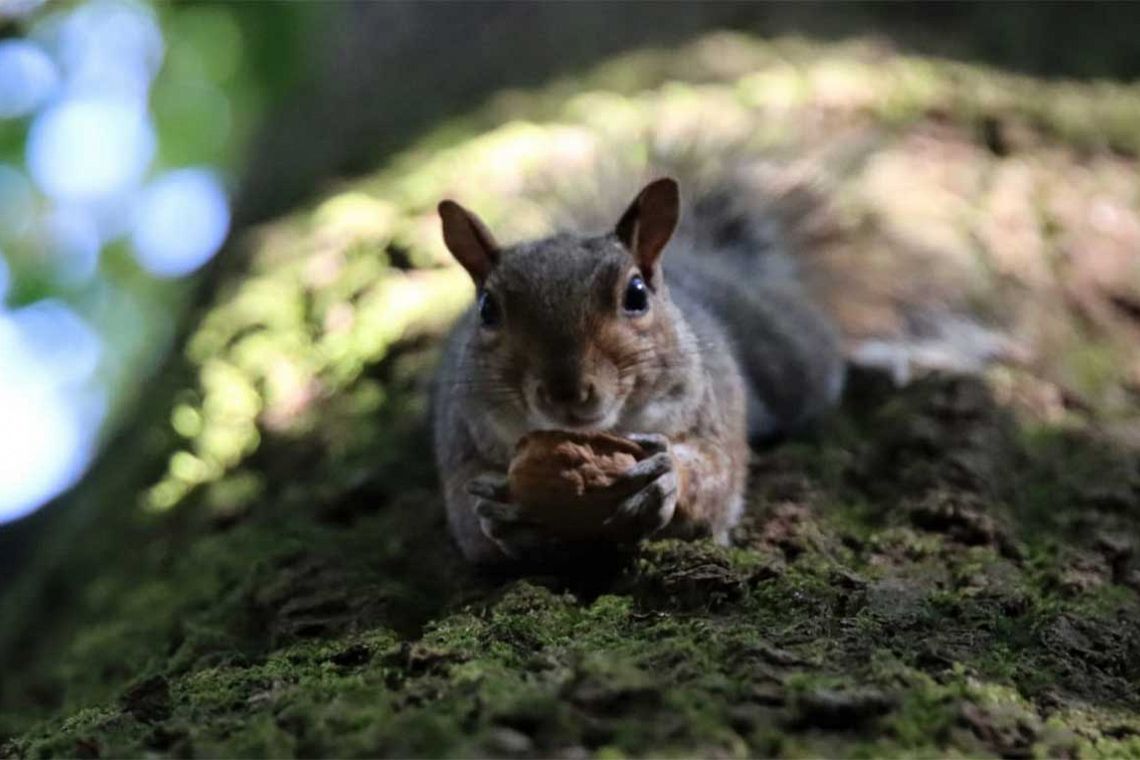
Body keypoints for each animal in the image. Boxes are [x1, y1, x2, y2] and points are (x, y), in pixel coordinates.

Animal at [433, 172, 848, 565]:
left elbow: (717, 476)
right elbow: (468, 522)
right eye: (487, 309)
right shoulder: (463, 443)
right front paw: (499, 514)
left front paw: (666, 476)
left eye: (636, 293)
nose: (566, 391)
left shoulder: (709, 414)